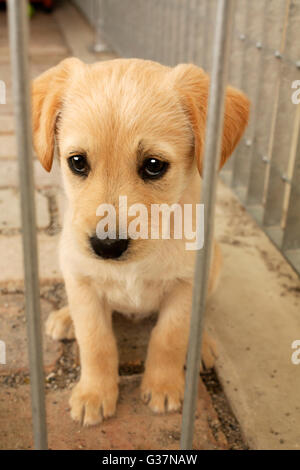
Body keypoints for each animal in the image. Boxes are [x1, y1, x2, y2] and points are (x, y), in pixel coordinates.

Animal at [31, 58, 250, 426]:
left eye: (153, 165)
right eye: (77, 161)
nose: (106, 247)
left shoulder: (186, 285)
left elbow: (169, 336)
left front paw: (163, 386)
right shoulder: (82, 280)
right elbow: (96, 341)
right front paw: (94, 393)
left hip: (214, 265)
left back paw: (201, 345)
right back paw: (64, 317)